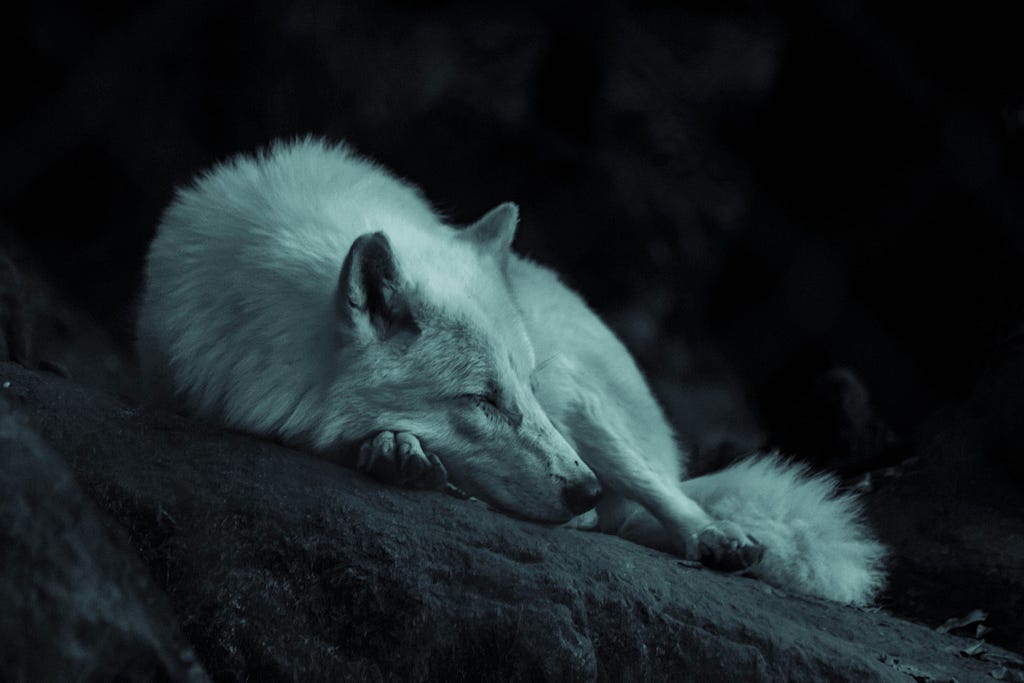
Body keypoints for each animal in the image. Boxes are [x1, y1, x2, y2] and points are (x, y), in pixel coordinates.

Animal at [138, 137, 888, 602]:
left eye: (520, 390)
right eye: (482, 399)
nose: (582, 489)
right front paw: (396, 449)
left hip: (582, 397)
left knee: (663, 494)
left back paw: (714, 535)